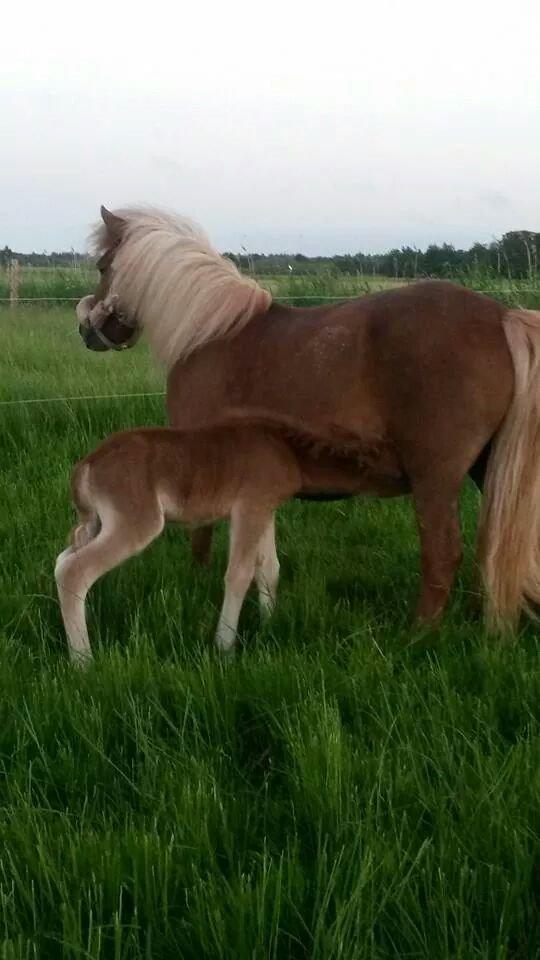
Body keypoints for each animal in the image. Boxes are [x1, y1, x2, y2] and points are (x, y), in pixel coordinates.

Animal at [54, 416, 386, 664]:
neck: (288, 451)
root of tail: (84, 468)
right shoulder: (248, 507)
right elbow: (239, 574)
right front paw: (225, 646)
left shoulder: (265, 509)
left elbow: (269, 569)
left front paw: (269, 624)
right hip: (137, 521)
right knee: (74, 571)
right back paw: (83, 661)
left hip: (94, 523)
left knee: (63, 560)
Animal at [77, 206, 540, 632]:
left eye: (102, 266)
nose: (86, 333)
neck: (212, 333)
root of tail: (502, 317)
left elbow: (201, 538)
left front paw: (198, 584)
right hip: (485, 468)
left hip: (436, 477)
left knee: (443, 554)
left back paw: (417, 636)